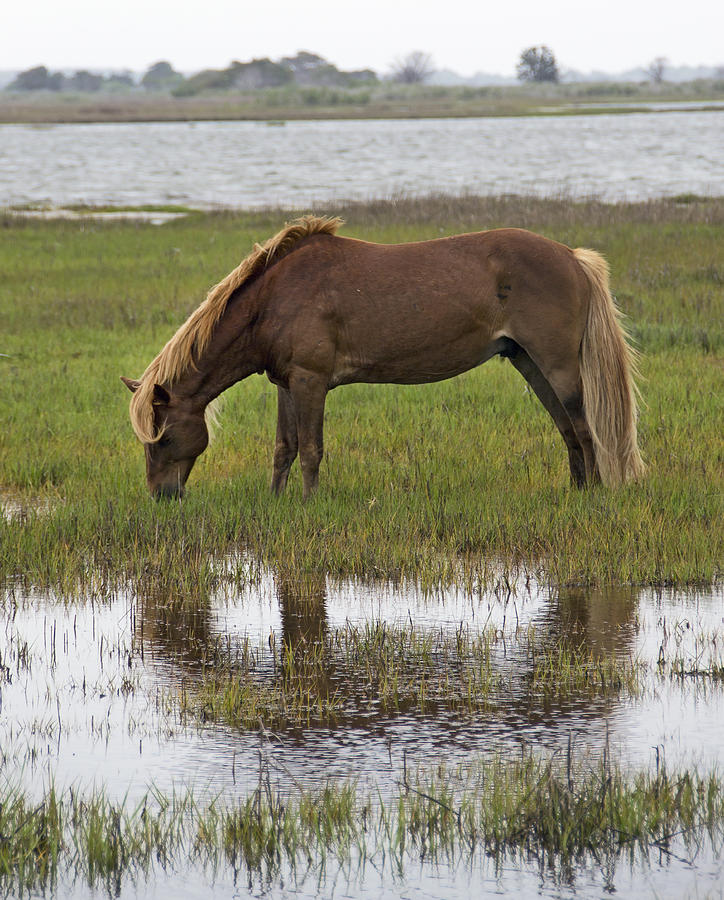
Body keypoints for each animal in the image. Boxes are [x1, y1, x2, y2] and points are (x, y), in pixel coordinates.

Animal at [120, 216, 644, 500]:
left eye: (162, 439)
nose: (162, 497)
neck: (274, 296)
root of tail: (572, 257)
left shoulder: (310, 381)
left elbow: (311, 450)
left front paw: (307, 506)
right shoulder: (287, 383)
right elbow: (283, 448)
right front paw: (275, 501)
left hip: (558, 366)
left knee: (583, 428)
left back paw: (594, 494)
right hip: (529, 363)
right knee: (567, 430)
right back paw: (576, 491)